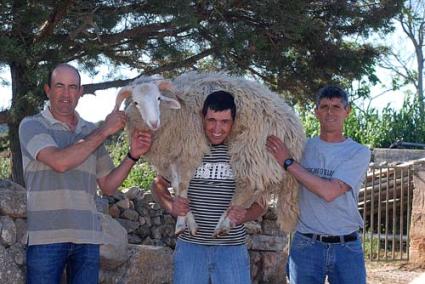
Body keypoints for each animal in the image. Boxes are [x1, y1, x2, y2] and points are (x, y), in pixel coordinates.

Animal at [114, 71, 304, 235]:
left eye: (158, 98)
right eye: (136, 102)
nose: (154, 122)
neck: (175, 114)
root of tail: (295, 132)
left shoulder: (190, 149)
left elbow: (182, 186)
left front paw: (182, 224)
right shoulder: (171, 157)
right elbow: (175, 186)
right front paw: (187, 219)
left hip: (253, 148)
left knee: (250, 186)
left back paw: (223, 224)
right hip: (263, 158)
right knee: (256, 189)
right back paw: (230, 219)